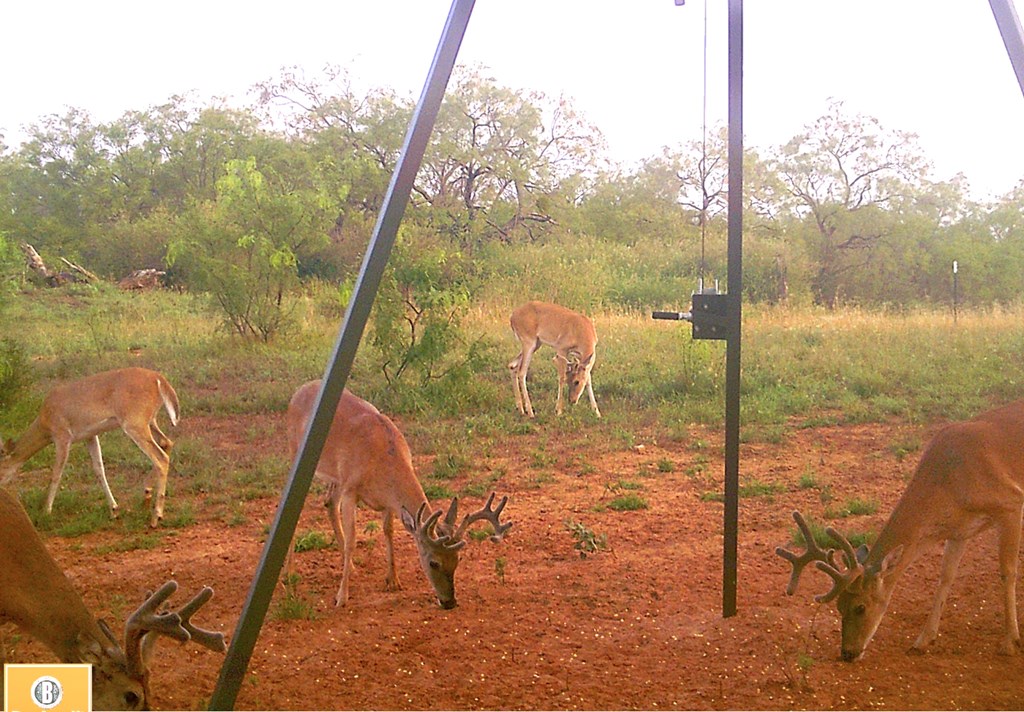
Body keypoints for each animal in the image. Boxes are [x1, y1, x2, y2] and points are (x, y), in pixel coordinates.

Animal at [0, 366, 180, 528]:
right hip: (150, 421)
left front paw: (46, 511)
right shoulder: (90, 435)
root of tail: (159, 379)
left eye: (0, 466)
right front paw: (114, 510)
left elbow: (56, 473)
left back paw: (156, 517)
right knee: (167, 443)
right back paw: (147, 494)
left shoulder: (62, 436)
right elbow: (99, 469)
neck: (45, 424)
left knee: (160, 457)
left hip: (134, 422)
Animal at [286, 381, 512, 610]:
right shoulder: (351, 489)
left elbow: (388, 531)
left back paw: (351, 567)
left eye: (457, 560)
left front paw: (393, 580)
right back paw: (289, 573)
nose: (449, 602)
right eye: (433, 562)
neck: (381, 458)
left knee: (329, 503)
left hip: (335, 477)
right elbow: (352, 540)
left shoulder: (386, 501)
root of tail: (299, 391)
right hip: (296, 452)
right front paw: (341, 597)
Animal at [774, 401, 1024, 663]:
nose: (847, 653)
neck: (951, 483)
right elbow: (945, 577)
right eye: (839, 606)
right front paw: (922, 641)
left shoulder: (1011, 501)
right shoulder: (959, 530)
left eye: (860, 607)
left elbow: (1008, 572)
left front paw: (1010, 642)